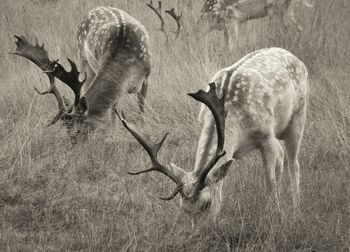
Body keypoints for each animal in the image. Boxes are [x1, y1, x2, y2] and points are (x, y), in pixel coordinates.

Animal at [13, 5, 150, 141]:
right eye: (67, 128)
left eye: (77, 130)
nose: (73, 144)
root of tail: (95, 8)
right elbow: (114, 109)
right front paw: (112, 134)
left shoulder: (146, 77)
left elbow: (141, 107)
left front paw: (142, 130)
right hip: (84, 60)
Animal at [118, 47, 308, 224]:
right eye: (183, 208)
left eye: (207, 204)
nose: (199, 232)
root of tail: (295, 58)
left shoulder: (266, 135)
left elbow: (270, 180)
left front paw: (275, 214)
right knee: (285, 159)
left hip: (298, 117)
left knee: (293, 163)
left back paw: (296, 208)